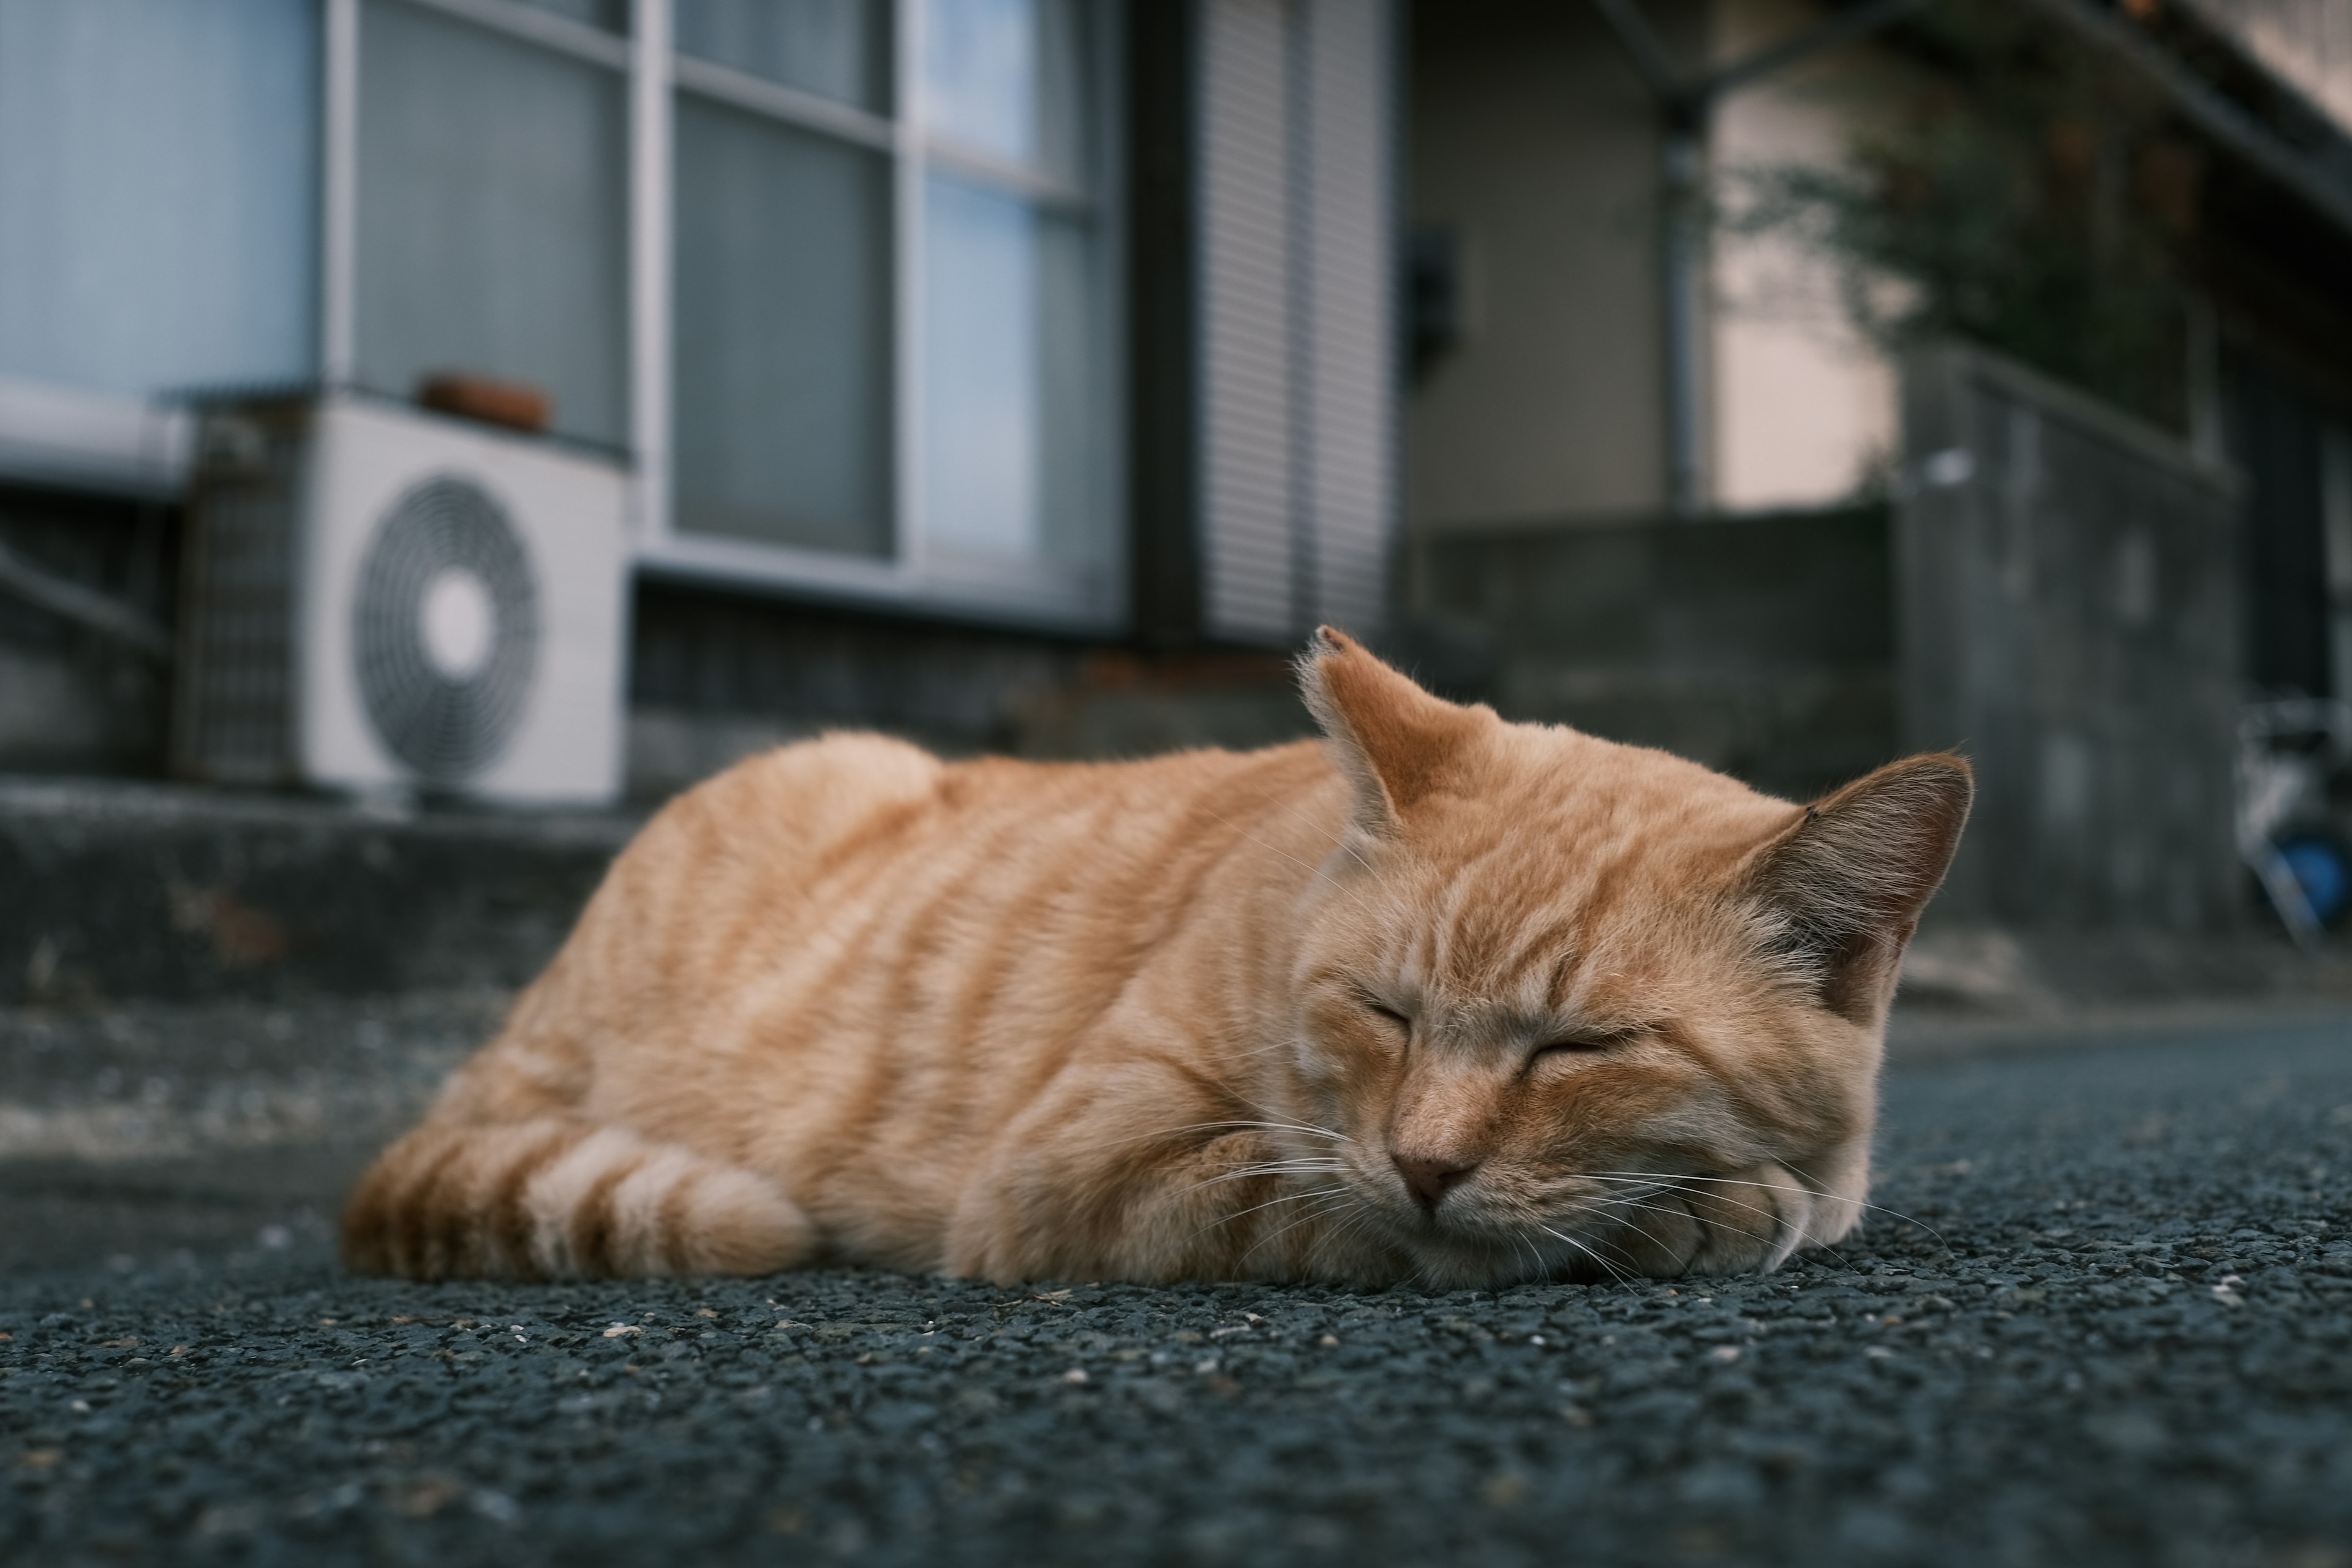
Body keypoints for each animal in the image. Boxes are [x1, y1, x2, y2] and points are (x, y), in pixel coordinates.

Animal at [343, 625, 1966, 1288]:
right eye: (1382, 1008)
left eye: (1582, 1046)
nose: (1428, 1159)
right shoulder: (1082, 1161)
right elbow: (1299, 1191)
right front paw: (1692, 1213)